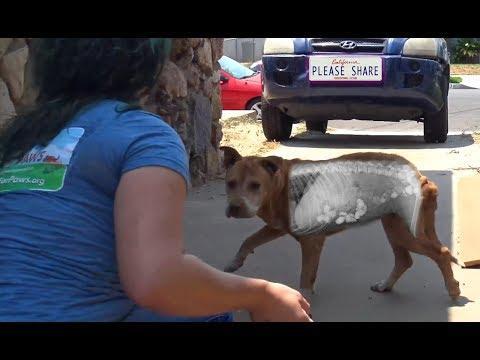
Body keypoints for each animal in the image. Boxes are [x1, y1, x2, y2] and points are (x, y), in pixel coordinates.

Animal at [220, 146, 462, 300]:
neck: (280, 186)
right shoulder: (278, 227)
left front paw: (302, 301)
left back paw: (452, 289)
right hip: (394, 226)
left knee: (440, 252)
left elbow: (305, 278)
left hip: (406, 232)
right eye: (230, 183)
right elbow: (249, 239)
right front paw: (234, 262)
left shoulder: (311, 242)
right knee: (404, 260)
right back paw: (385, 286)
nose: (234, 208)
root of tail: (421, 177)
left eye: (255, 185)